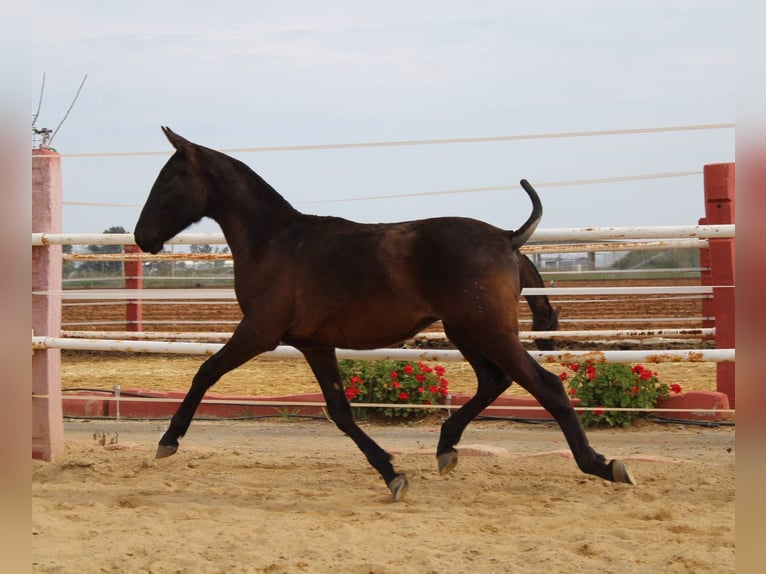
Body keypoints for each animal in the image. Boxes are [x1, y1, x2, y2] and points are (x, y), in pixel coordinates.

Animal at [134, 128, 636, 502]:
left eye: (167, 180)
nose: (142, 237)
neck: (276, 241)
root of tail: (507, 237)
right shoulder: (314, 344)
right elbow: (340, 411)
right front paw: (392, 474)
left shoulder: (259, 331)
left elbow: (205, 372)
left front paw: (168, 441)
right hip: (466, 332)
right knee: (493, 381)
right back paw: (446, 447)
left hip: (486, 331)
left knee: (546, 386)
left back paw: (603, 464)